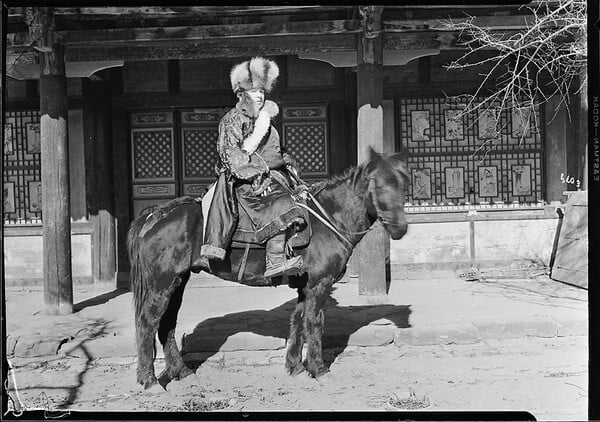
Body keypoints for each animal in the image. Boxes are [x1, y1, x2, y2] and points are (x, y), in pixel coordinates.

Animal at [126, 147, 408, 388]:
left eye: (403, 183)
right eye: (379, 184)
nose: (400, 228)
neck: (330, 217)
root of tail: (155, 214)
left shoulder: (305, 286)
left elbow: (298, 321)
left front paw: (295, 367)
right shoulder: (319, 283)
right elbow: (314, 323)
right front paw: (319, 369)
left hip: (178, 280)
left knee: (167, 323)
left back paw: (181, 372)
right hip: (162, 282)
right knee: (147, 322)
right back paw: (150, 381)